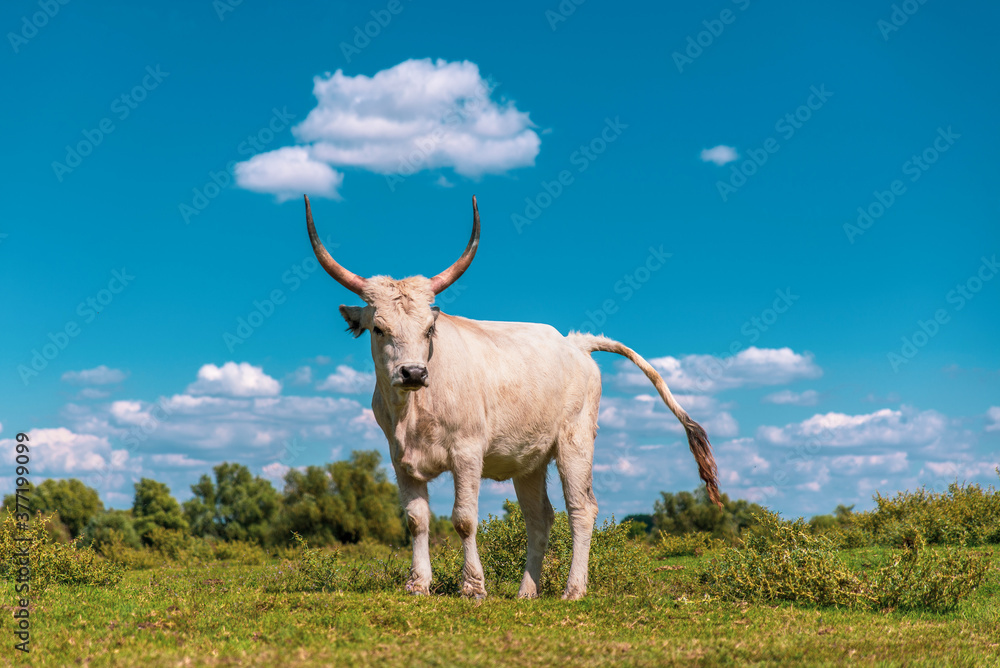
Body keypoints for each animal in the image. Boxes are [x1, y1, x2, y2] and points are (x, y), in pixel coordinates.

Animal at [303, 194, 721, 600]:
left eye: (429, 329)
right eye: (378, 328)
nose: (413, 373)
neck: (414, 411)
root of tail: (575, 342)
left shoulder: (468, 453)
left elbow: (463, 519)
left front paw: (473, 587)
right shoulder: (400, 458)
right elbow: (416, 519)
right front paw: (418, 584)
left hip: (576, 441)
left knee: (581, 509)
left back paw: (574, 589)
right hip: (530, 460)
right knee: (540, 518)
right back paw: (527, 591)